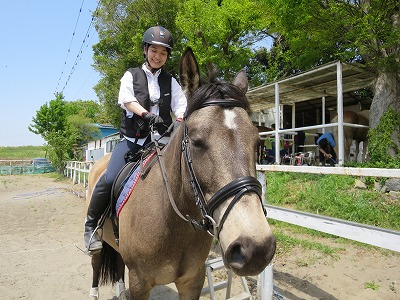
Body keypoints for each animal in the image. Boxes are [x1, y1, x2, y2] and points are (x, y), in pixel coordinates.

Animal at [86, 48, 276, 298]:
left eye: (255, 141)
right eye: (196, 141)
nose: (256, 248)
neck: (173, 221)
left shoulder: (192, 281)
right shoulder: (139, 282)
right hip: (99, 240)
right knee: (97, 262)